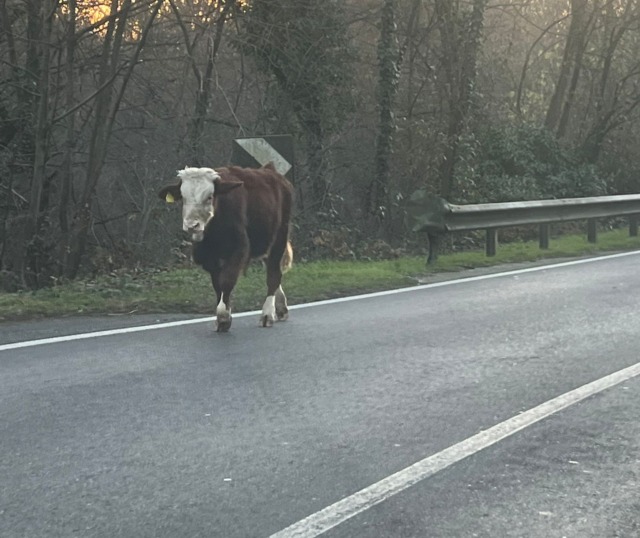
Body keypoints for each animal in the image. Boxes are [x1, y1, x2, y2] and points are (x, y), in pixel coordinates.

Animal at [158, 163, 294, 332]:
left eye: (209, 196)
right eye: (183, 197)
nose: (191, 225)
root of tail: (270, 170)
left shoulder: (239, 249)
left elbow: (227, 281)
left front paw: (223, 316)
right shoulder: (209, 259)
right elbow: (218, 285)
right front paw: (223, 317)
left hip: (280, 236)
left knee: (273, 275)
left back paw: (267, 314)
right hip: (265, 243)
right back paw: (281, 308)